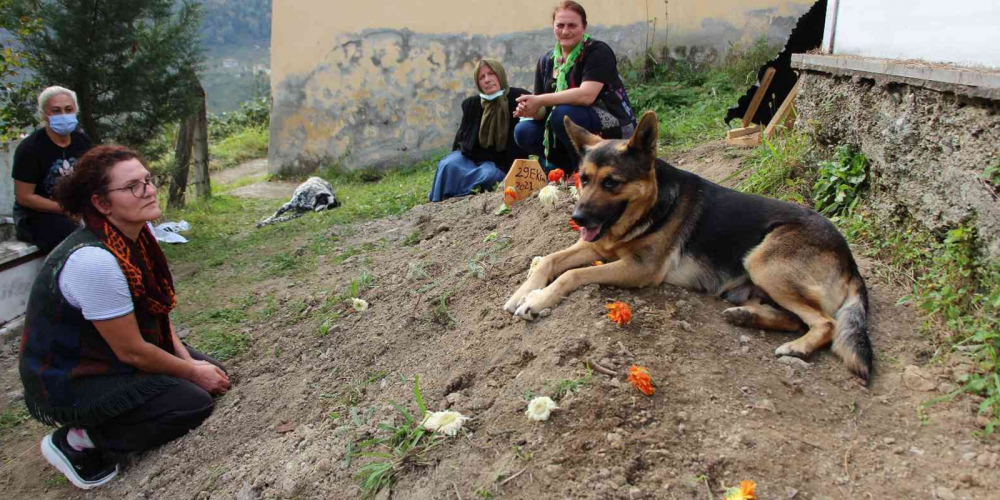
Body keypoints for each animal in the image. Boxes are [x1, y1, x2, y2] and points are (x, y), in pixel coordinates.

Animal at [504, 110, 872, 382]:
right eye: (584, 179)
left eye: (612, 183)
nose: (577, 218)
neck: (652, 205)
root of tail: (850, 259)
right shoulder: (599, 248)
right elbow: (548, 260)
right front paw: (521, 293)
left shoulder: (639, 268)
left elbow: (573, 275)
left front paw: (537, 300)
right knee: (796, 319)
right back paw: (746, 317)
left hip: (763, 262)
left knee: (826, 324)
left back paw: (797, 348)